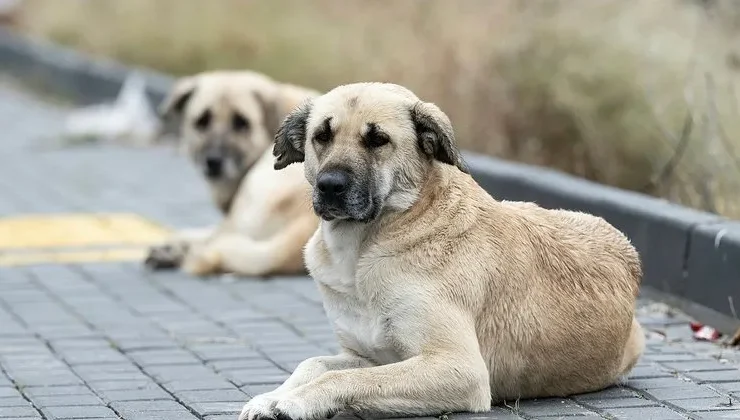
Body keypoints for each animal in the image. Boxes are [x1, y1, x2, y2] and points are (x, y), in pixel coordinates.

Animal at [237, 83, 640, 420]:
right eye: (321, 136)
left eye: (378, 139)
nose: (329, 185)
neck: (369, 246)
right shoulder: (368, 357)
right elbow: (312, 364)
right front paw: (272, 396)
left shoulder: (458, 367)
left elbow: (340, 380)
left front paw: (295, 401)